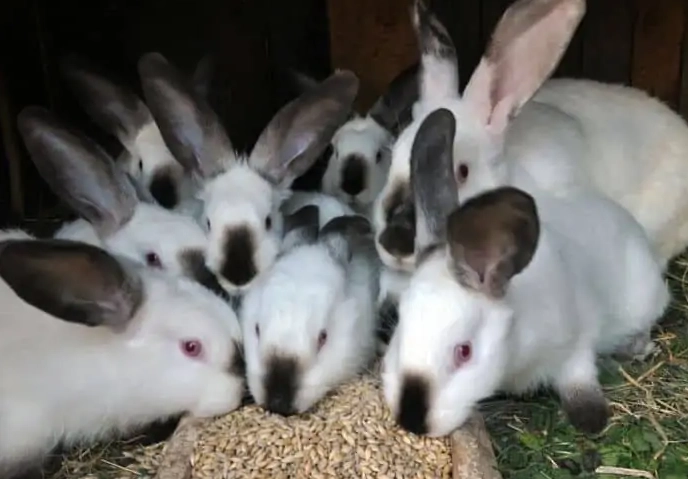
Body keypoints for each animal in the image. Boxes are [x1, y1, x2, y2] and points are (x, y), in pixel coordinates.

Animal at [381, 108, 670, 439]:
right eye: (400, 326)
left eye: (464, 352)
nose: (411, 421)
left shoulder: (576, 342)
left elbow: (579, 380)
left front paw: (591, 419)